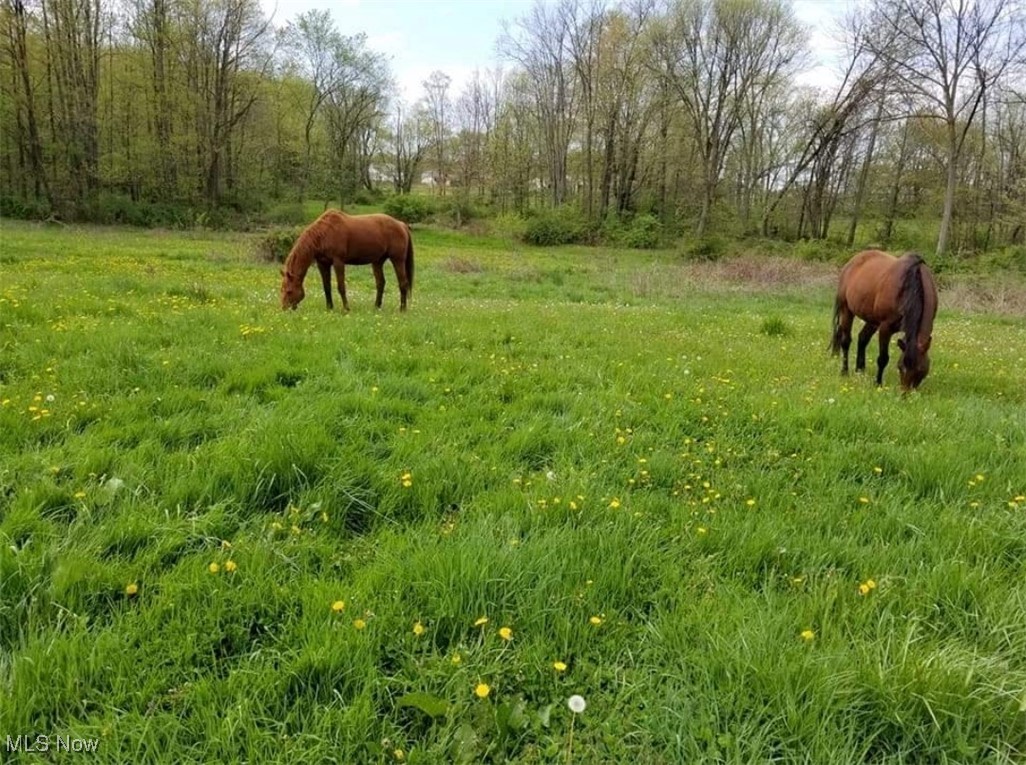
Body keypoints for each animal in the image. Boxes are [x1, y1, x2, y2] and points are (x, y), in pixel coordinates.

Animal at [281, 208, 412, 309]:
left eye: (289, 291)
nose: (284, 308)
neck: (323, 234)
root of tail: (401, 224)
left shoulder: (338, 262)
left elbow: (341, 286)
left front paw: (346, 308)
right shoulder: (322, 264)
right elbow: (326, 287)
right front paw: (329, 308)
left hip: (398, 260)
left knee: (403, 283)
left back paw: (402, 309)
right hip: (377, 261)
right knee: (381, 283)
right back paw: (376, 307)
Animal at [833, 250, 939, 389]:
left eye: (921, 369)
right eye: (901, 367)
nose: (905, 392)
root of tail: (852, 261)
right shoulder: (885, 327)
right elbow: (883, 358)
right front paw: (878, 383)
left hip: (872, 320)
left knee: (862, 338)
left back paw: (860, 370)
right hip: (846, 310)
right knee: (846, 341)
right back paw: (844, 371)